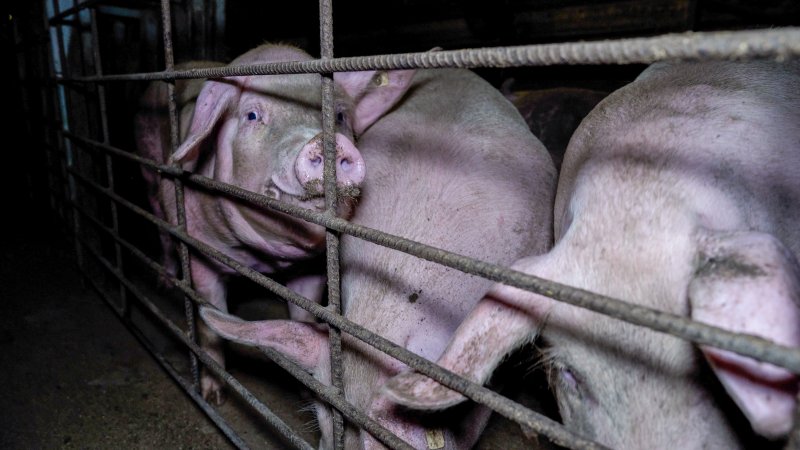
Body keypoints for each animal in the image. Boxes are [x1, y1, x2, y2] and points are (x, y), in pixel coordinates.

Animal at [135, 45, 382, 404]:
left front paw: (305, 388)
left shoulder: (310, 269)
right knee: (161, 227)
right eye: (252, 115)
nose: (327, 142)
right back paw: (165, 280)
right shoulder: (200, 250)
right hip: (149, 166)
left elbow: (302, 317)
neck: (259, 261)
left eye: (338, 117)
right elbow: (209, 321)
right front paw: (213, 395)